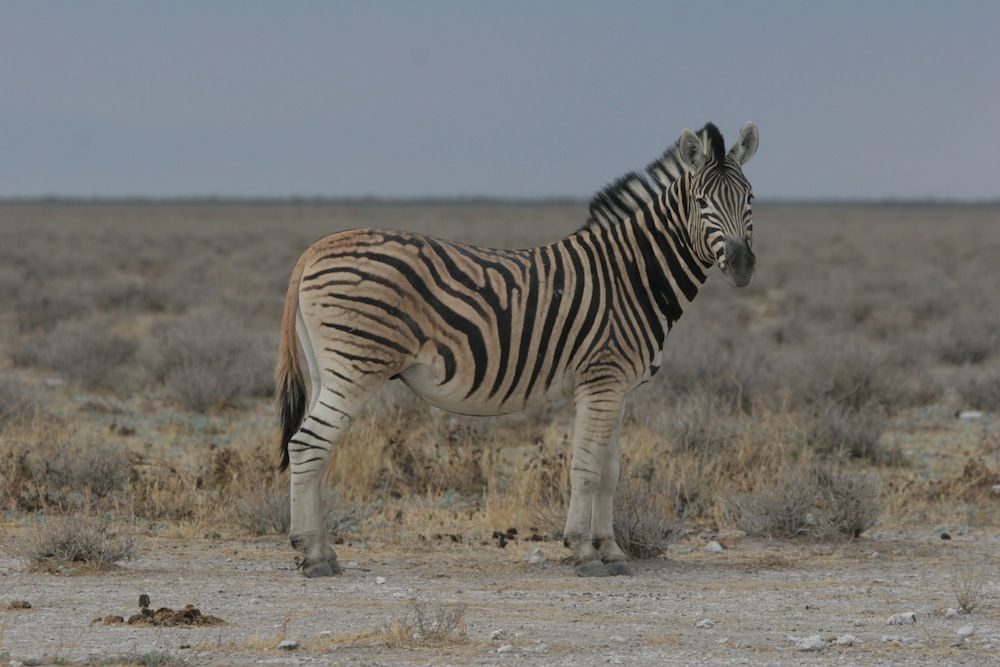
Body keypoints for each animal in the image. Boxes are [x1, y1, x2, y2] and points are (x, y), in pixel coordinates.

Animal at [276, 121, 758, 577]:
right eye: (702, 203)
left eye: (751, 199)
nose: (741, 265)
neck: (631, 275)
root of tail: (316, 248)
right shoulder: (601, 380)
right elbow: (586, 468)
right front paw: (583, 551)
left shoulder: (618, 388)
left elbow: (610, 472)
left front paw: (612, 551)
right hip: (356, 366)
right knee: (307, 445)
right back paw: (313, 555)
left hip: (326, 371)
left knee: (313, 450)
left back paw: (318, 551)